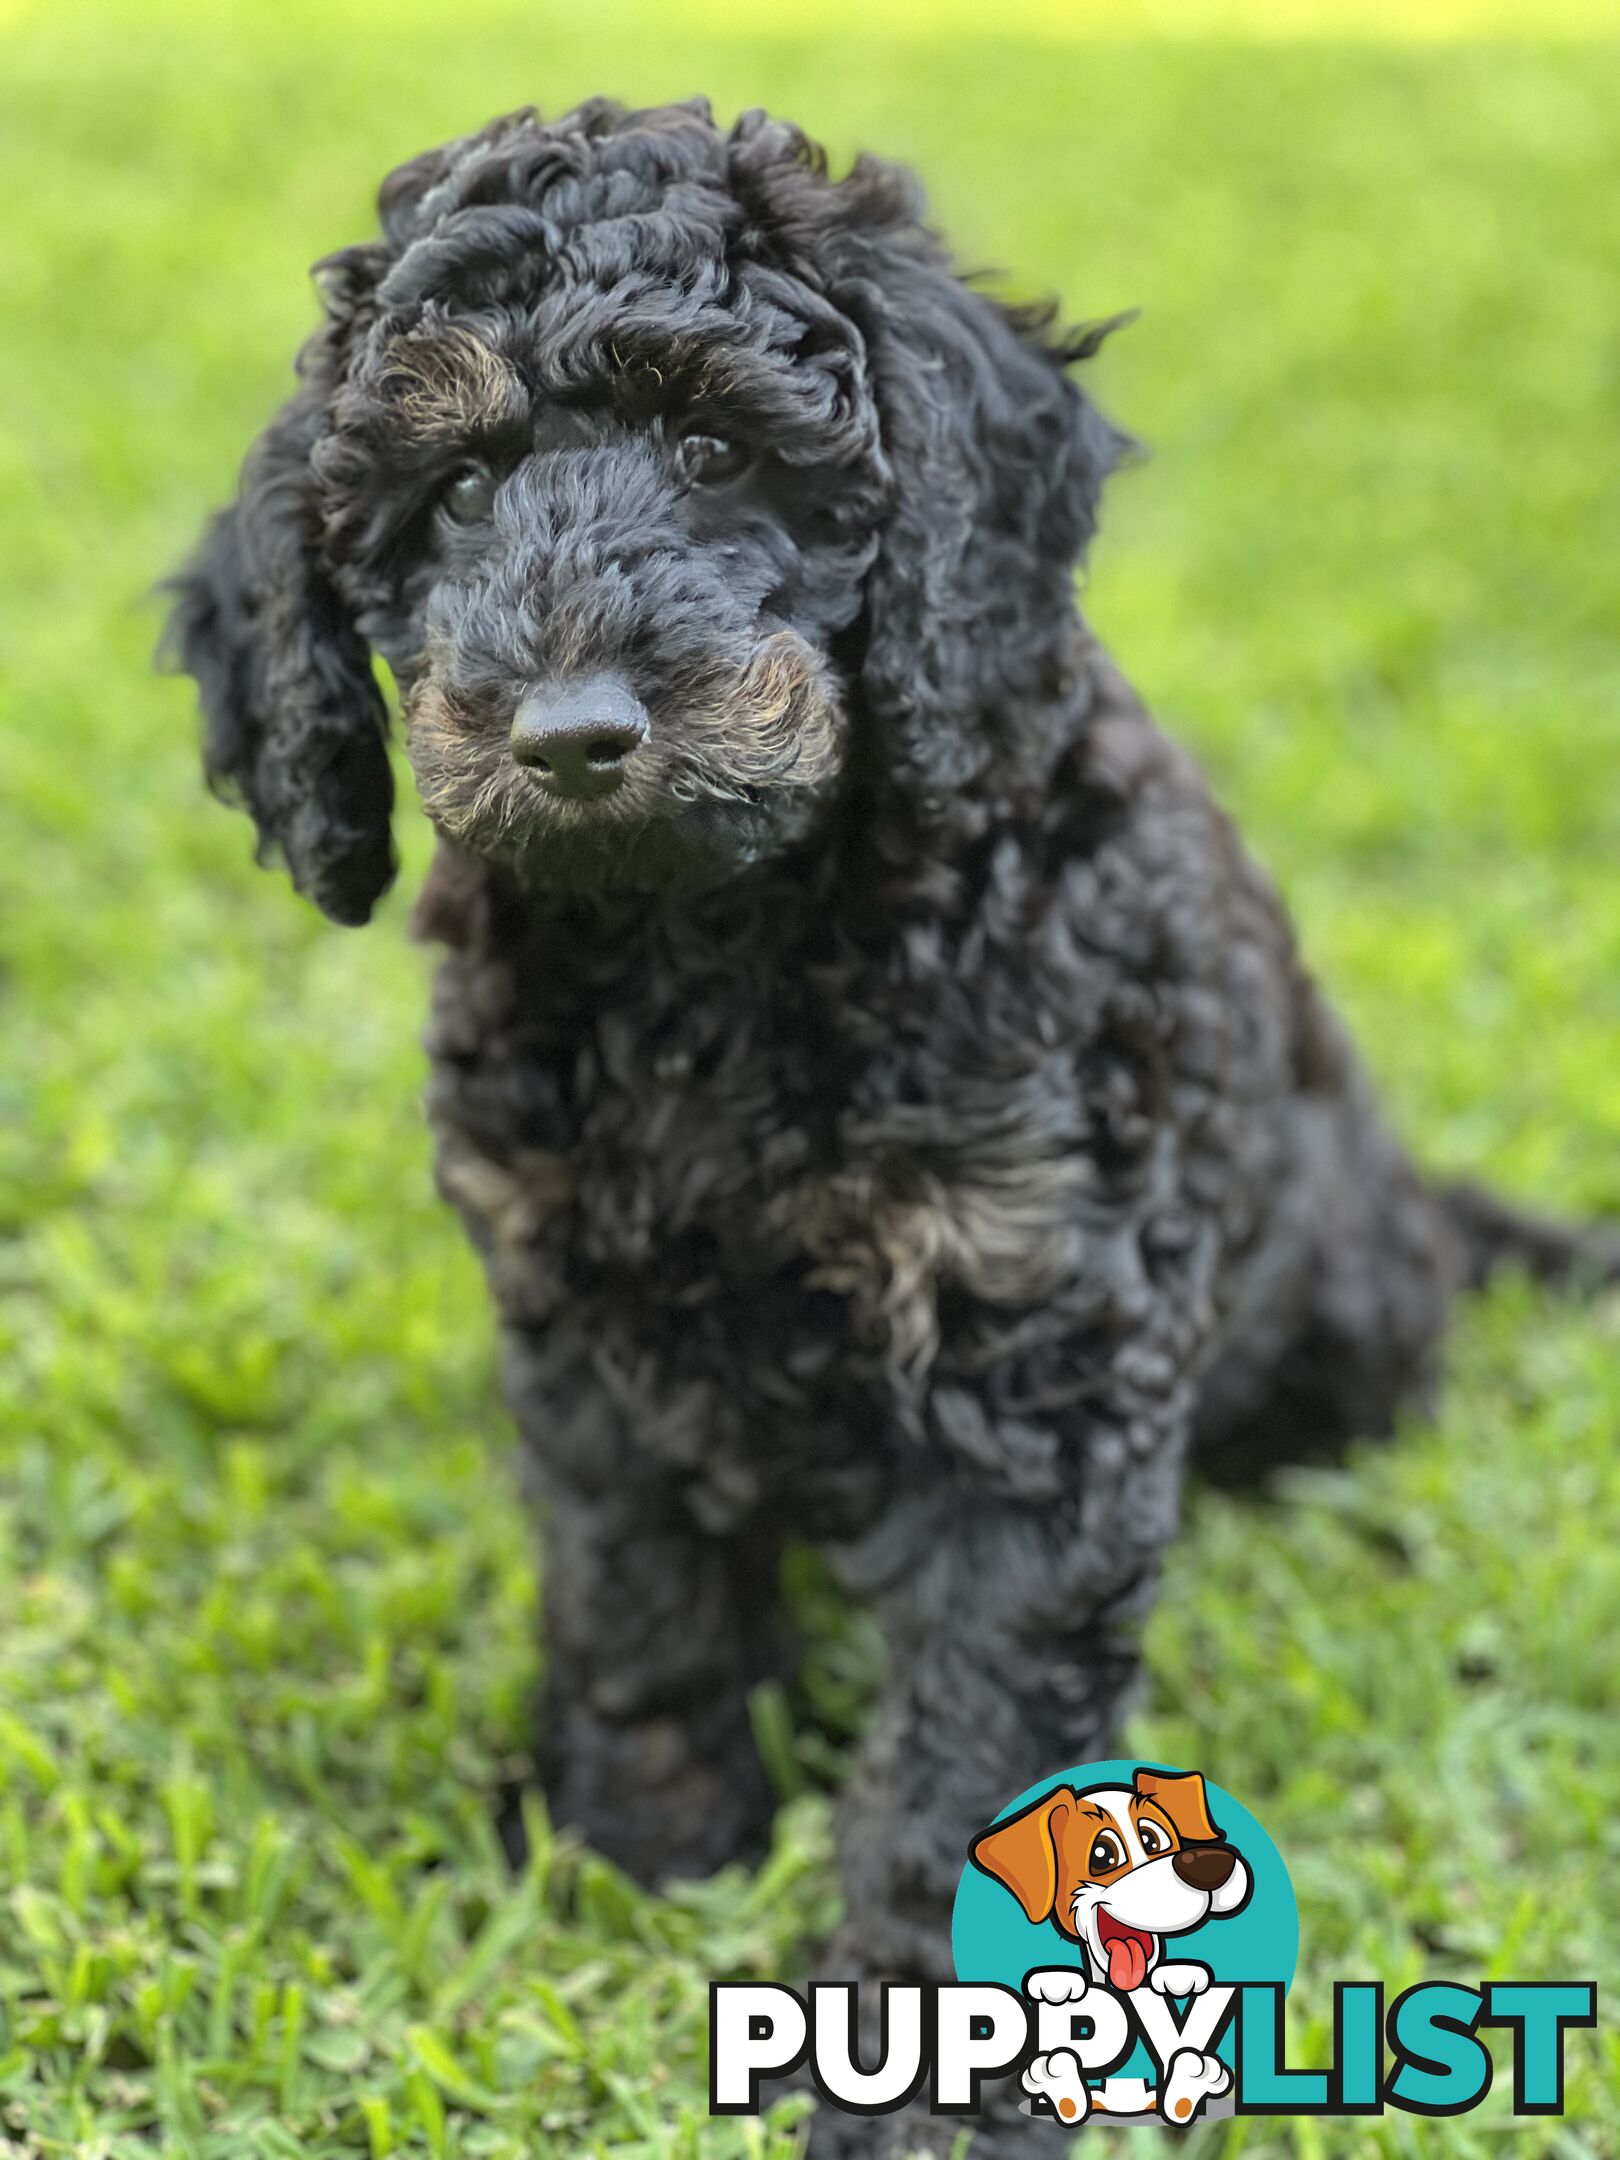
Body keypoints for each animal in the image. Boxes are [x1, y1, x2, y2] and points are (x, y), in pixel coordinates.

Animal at [165, 92, 1615, 2151]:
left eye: (715, 450)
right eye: (447, 496)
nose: (572, 737)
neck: (709, 953)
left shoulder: (1041, 1346)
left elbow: (975, 1747)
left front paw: (932, 2066)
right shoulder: (577, 1326)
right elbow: (637, 1613)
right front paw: (643, 1856)